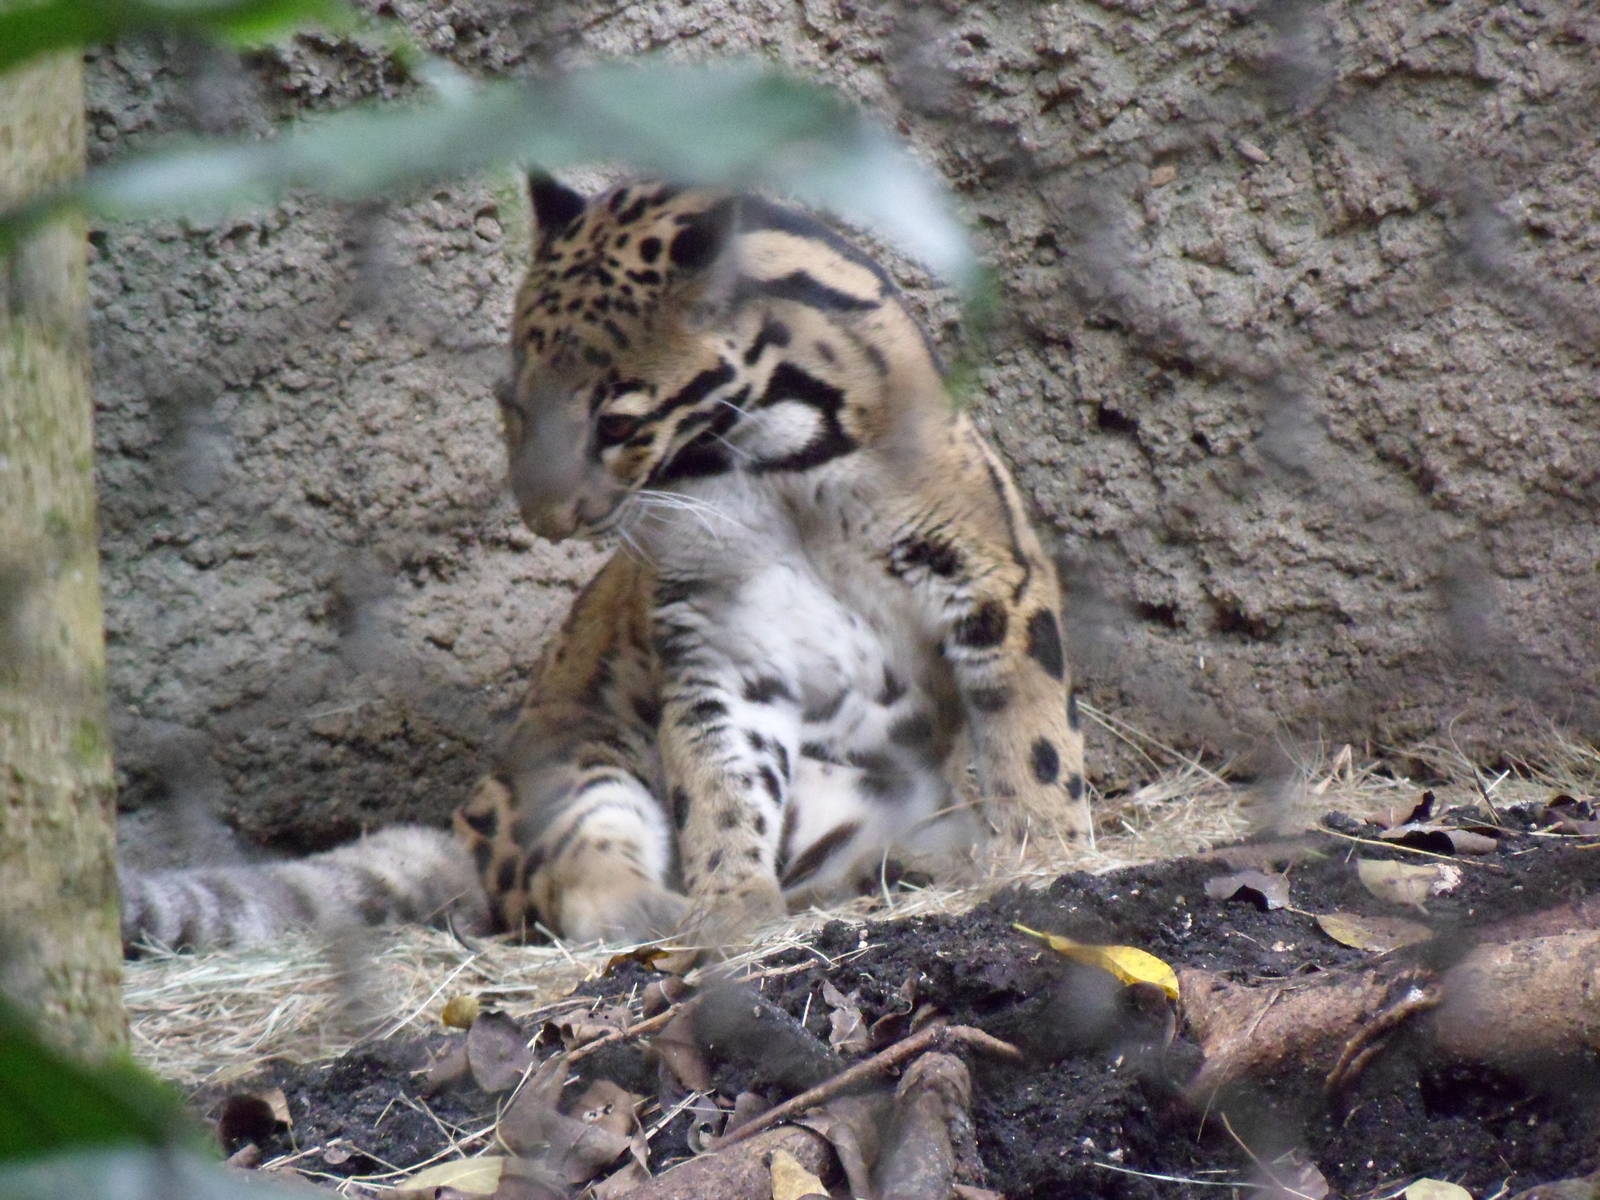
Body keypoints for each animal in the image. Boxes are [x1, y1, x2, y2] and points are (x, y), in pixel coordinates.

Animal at [119, 173, 1088, 953]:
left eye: (617, 421)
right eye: (512, 404)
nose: (541, 519)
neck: (777, 462)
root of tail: (460, 834)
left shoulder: (990, 581)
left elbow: (1033, 740)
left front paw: (1045, 854)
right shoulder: (718, 647)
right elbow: (719, 788)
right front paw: (732, 908)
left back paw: (899, 868)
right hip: (580, 760)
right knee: (583, 890)